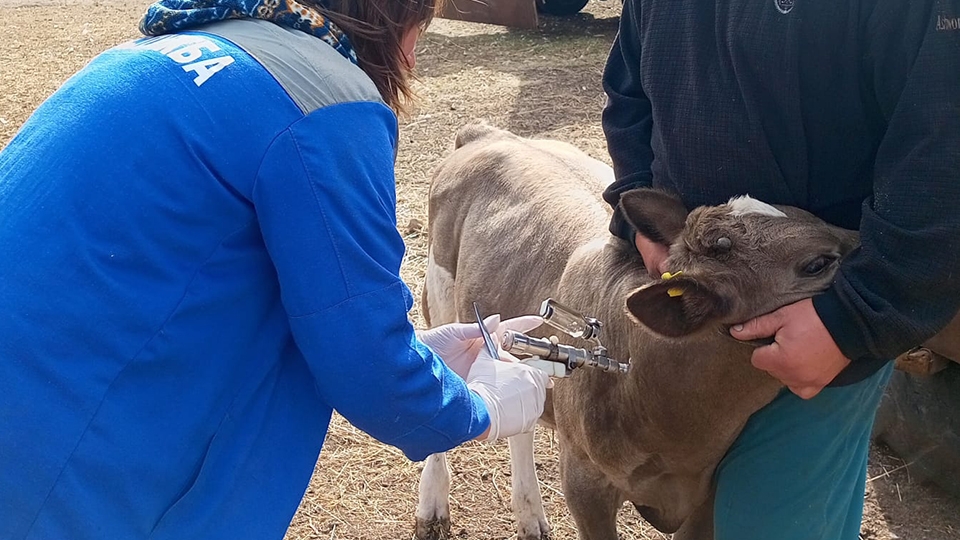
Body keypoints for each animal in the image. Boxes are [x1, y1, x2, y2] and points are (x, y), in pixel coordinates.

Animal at [416, 123, 860, 540]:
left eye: (813, 216)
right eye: (818, 264)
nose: (862, 237)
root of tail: (490, 134)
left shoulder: (711, 488)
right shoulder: (584, 482)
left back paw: (529, 514)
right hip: (439, 298)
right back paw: (433, 506)